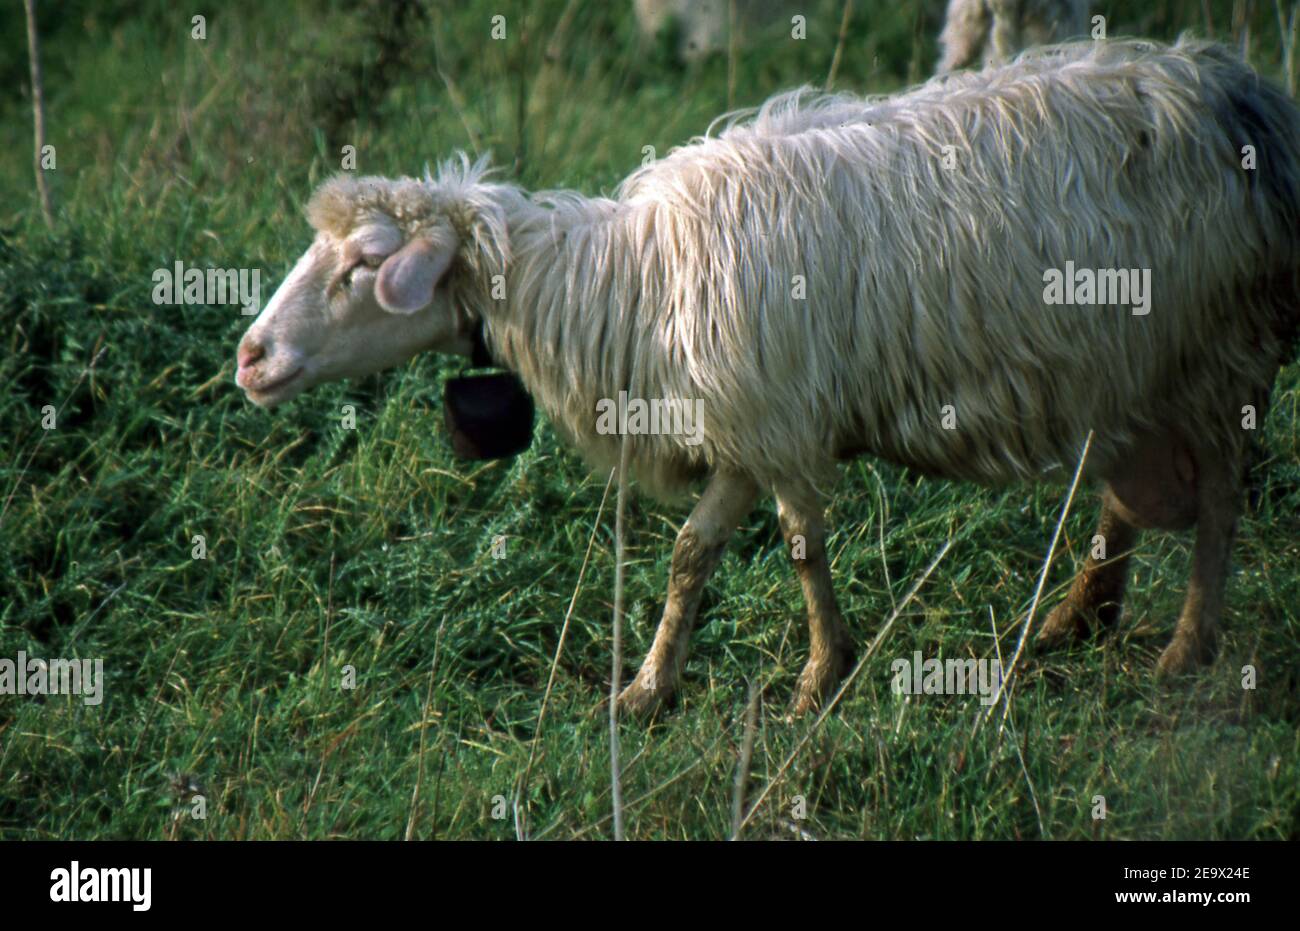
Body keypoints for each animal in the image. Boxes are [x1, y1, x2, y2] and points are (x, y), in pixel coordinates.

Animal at [236, 38, 1300, 717]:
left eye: (363, 265)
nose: (250, 358)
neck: (623, 280)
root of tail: (1240, 90)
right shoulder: (743, 428)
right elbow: (694, 554)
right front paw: (647, 689)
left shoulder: (773, 418)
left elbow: (797, 546)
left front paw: (818, 676)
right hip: (1144, 363)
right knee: (1130, 493)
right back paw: (1078, 618)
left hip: (1219, 347)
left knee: (1218, 502)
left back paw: (1185, 650)